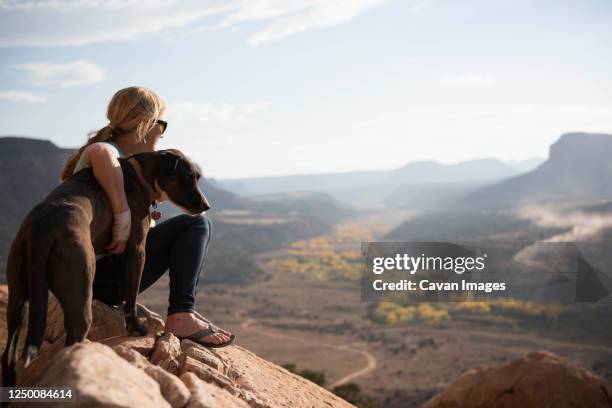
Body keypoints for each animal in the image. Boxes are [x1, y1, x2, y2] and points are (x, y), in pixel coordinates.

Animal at [1, 149, 209, 386]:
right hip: (80, 293)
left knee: (8, 355)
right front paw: (135, 327)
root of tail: (42, 228)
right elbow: (131, 297)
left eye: (197, 177)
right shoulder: (138, 250)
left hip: (19, 297)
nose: (206, 206)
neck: (140, 174)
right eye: (186, 176)